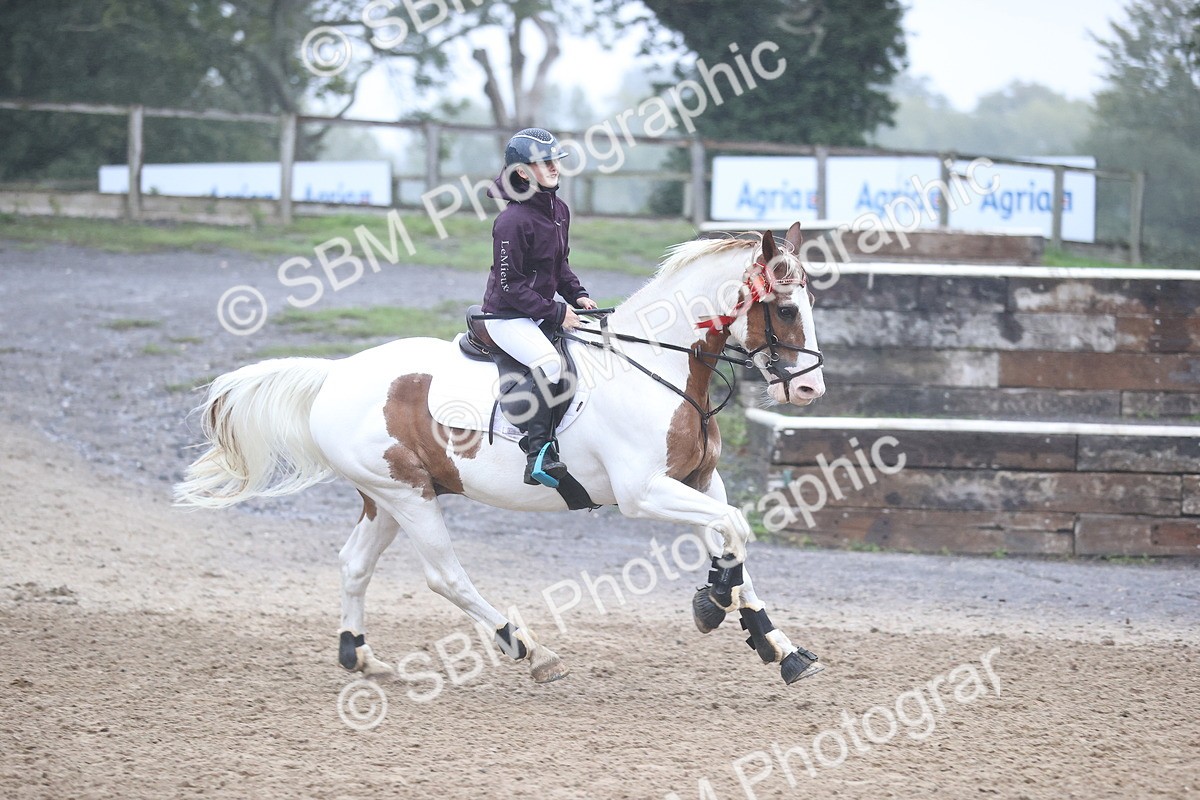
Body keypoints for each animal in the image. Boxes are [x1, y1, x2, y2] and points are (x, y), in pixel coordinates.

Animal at [174, 223, 827, 686]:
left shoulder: (698, 481)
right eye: (786, 308)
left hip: (387, 496)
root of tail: (335, 375)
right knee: (445, 576)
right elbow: (733, 528)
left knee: (355, 563)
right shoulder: (644, 493)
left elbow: (730, 534)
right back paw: (530, 649)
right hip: (409, 497)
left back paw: (361, 657)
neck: (654, 363)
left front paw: (774, 644)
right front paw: (714, 604)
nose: (809, 390)